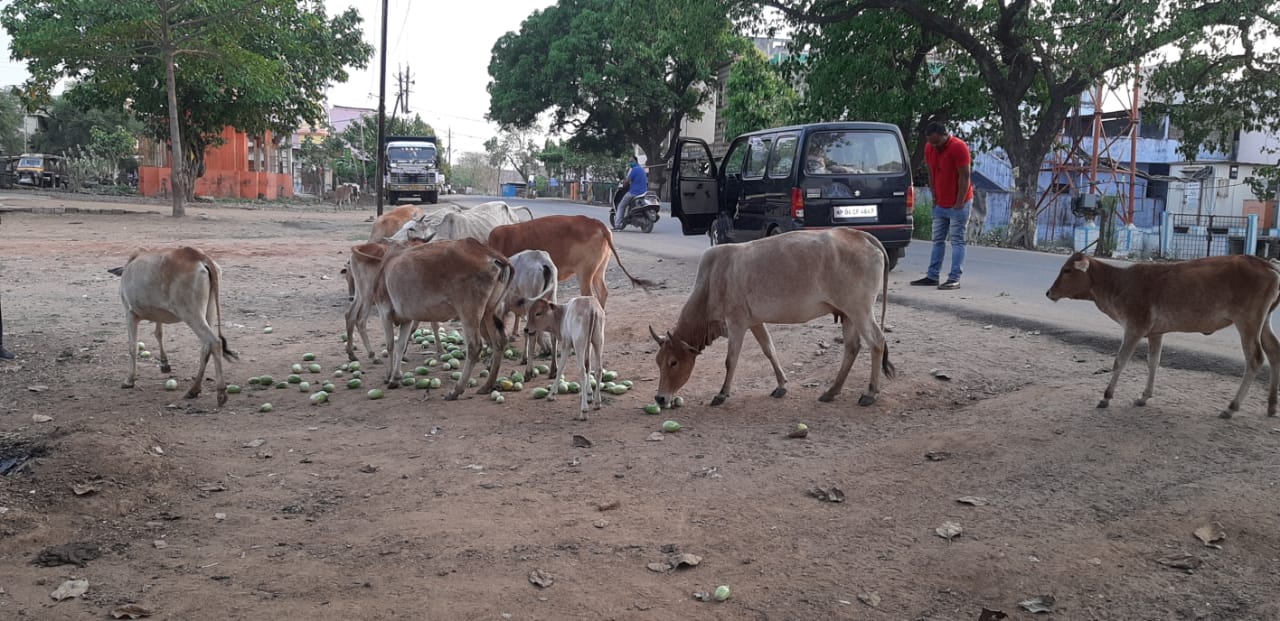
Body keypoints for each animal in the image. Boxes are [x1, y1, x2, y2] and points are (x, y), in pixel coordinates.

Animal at [106, 247, 238, 407]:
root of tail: (200, 256)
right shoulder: (158, 314)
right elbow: (158, 333)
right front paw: (164, 364)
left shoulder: (130, 313)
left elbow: (133, 346)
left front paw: (129, 380)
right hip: (209, 311)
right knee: (206, 347)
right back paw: (193, 390)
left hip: (191, 313)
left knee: (214, 342)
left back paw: (220, 393)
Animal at [360, 236, 514, 396]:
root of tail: (489, 253)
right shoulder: (407, 319)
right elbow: (400, 346)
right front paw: (396, 376)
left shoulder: (384, 311)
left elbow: (390, 345)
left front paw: (389, 377)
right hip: (489, 311)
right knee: (499, 342)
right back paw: (487, 386)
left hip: (468, 311)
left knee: (475, 347)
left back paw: (456, 390)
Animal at [650, 227, 890, 407]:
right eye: (658, 361)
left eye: (673, 362)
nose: (660, 398)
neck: (711, 282)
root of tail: (861, 235)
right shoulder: (755, 322)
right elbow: (769, 350)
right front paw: (781, 385)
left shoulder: (736, 323)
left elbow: (731, 360)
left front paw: (722, 394)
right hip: (847, 314)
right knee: (852, 347)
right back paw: (832, 391)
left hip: (860, 310)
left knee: (877, 341)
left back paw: (870, 393)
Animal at [1044, 250, 1280, 417]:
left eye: (1067, 270)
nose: (1049, 292)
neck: (1118, 283)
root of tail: (1268, 265)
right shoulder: (1155, 332)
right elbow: (1153, 362)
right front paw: (1144, 396)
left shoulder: (1134, 327)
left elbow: (1120, 361)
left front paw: (1106, 397)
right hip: (1264, 322)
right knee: (1274, 352)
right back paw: (1271, 405)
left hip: (1248, 322)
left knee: (1255, 359)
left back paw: (1231, 407)